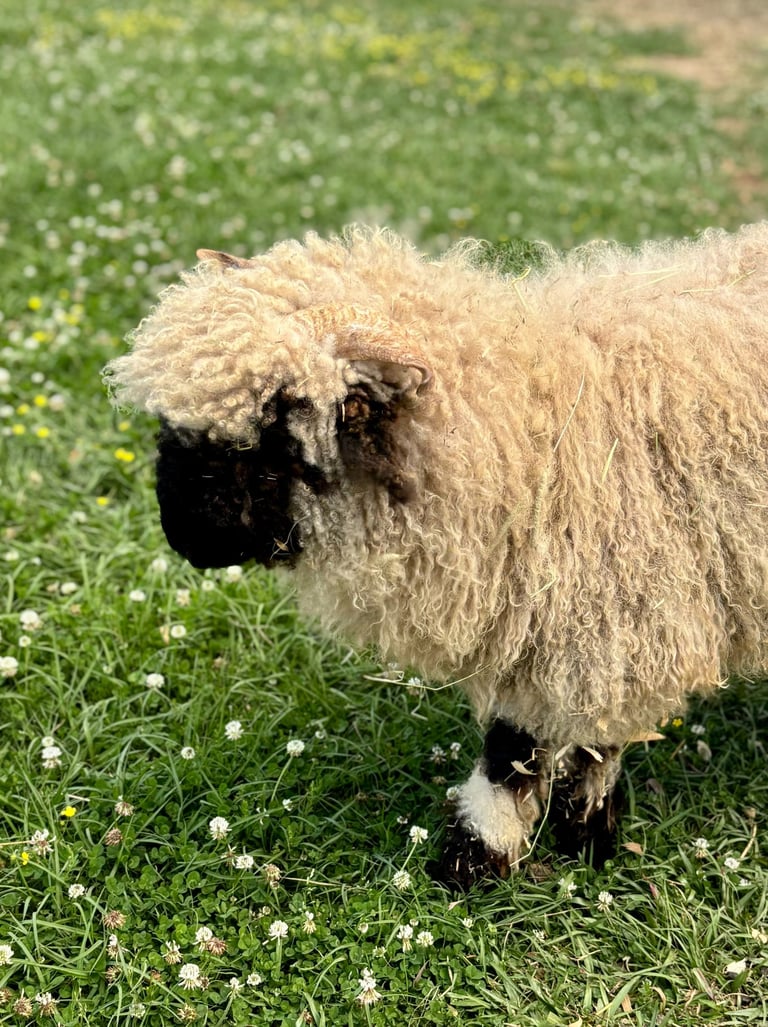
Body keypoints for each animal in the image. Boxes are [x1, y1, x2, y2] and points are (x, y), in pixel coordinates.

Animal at [105, 224, 768, 887]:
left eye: (274, 443)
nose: (183, 541)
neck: (523, 430)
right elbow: (520, 749)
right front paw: (487, 851)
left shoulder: (616, 614)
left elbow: (550, 743)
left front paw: (550, 842)